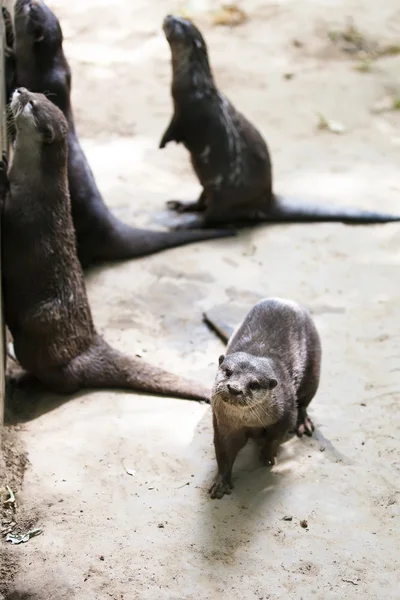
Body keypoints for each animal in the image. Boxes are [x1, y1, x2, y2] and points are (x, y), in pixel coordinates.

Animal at [0, 85, 211, 404]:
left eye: (31, 104)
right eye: (38, 94)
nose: (20, 89)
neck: (34, 186)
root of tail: (91, 343)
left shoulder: (21, 215)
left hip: (39, 328)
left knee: (66, 379)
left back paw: (24, 378)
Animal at [161, 14, 400, 230]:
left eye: (181, 24)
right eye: (179, 17)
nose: (169, 16)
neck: (195, 84)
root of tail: (266, 200)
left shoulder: (187, 112)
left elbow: (175, 130)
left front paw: (163, 143)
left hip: (226, 195)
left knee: (211, 217)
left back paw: (185, 223)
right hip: (209, 186)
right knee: (203, 201)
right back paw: (183, 205)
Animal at [208, 298, 320, 500]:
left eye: (254, 384)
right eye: (228, 372)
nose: (234, 388)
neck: (249, 422)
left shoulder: (286, 412)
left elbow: (275, 438)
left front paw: (267, 457)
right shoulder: (223, 423)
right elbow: (224, 451)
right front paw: (221, 482)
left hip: (314, 367)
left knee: (305, 400)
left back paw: (303, 422)